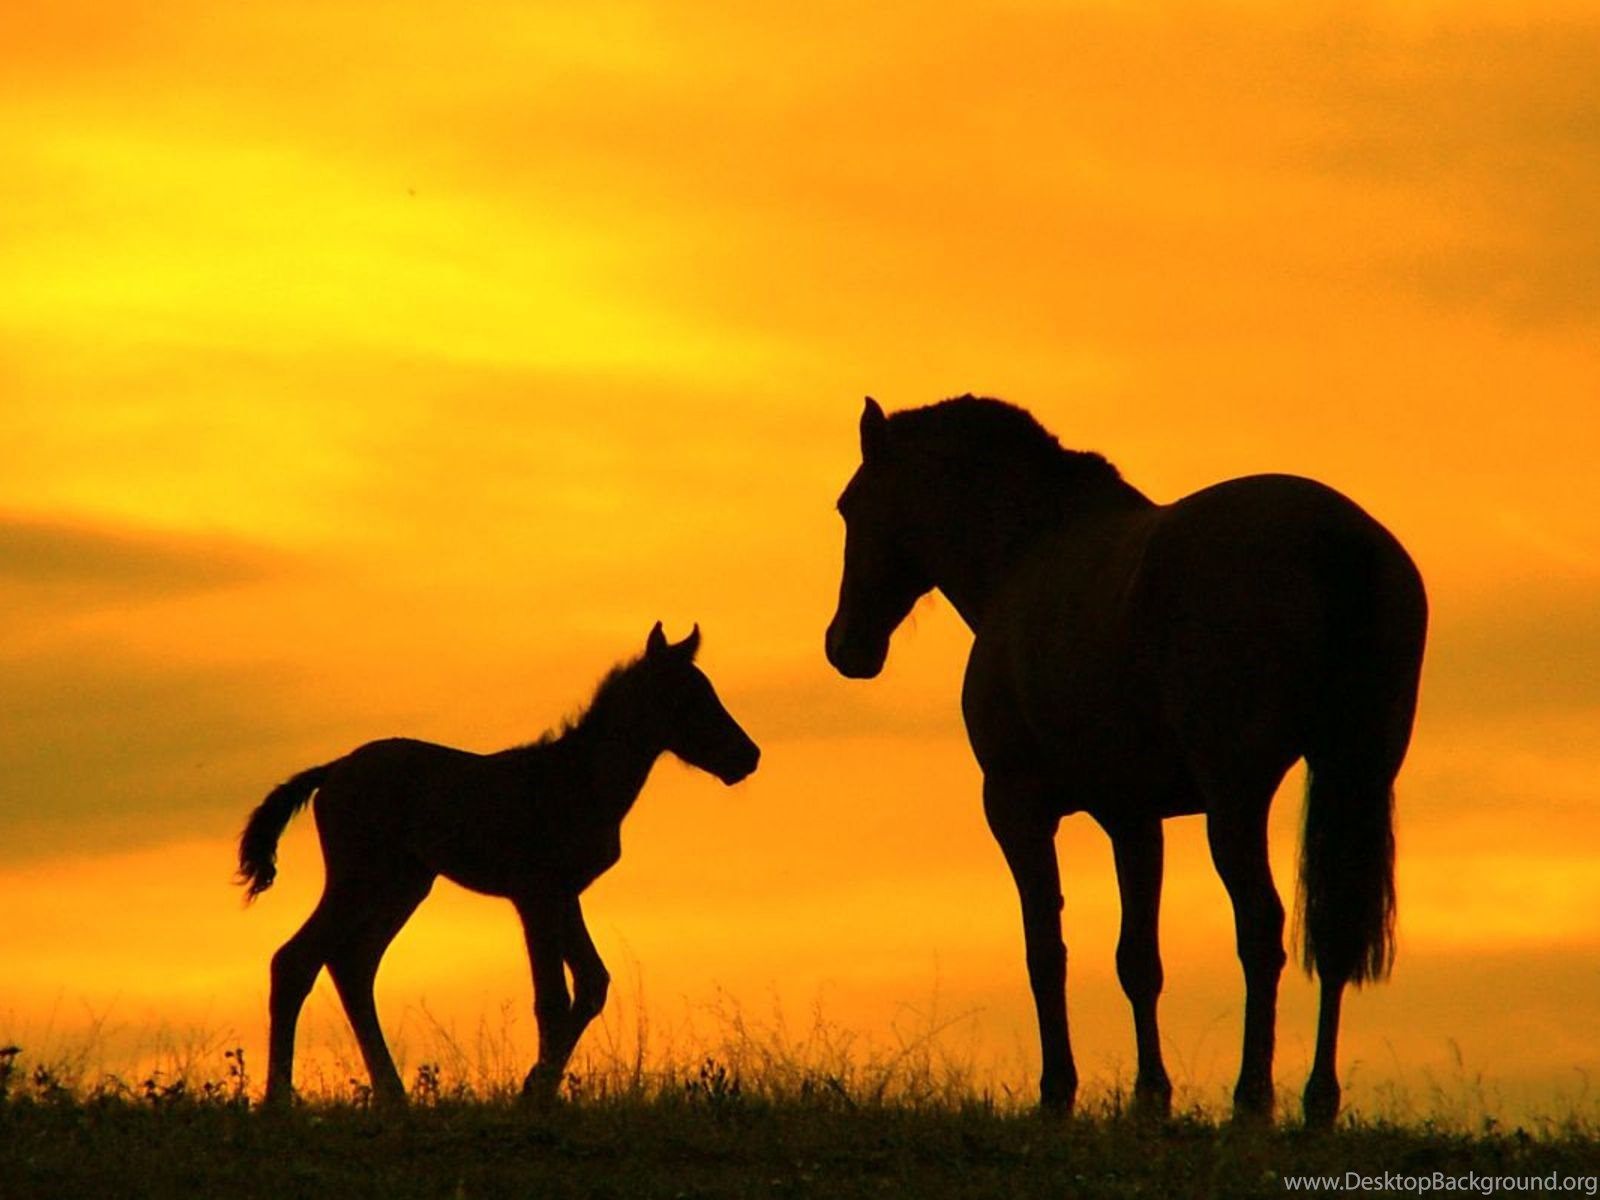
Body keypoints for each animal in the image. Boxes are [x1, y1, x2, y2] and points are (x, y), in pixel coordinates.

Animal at [237, 622, 760, 1108]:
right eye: (687, 698)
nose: (747, 756)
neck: (579, 780)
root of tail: (332, 771)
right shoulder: (535, 893)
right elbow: (553, 998)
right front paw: (535, 1096)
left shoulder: (564, 894)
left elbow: (592, 983)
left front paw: (535, 1087)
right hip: (357, 879)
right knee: (296, 960)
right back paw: (279, 1099)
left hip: (402, 886)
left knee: (352, 965)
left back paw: (392, 1095)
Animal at [824, 396, 1425, 1126]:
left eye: (850, 506)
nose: (845, 646)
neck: (1026, 554)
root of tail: (1338, 540)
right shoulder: (1133, 817)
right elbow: (1139, 959)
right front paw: (1150, 1096)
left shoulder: (1015, 804)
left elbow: (1045, 948)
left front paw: (1058, 1092)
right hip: (1354, 771)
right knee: (1333, 930)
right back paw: (1318, 1103)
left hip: (1238, 796)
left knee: (1260, 926)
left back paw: (1252, 1099)